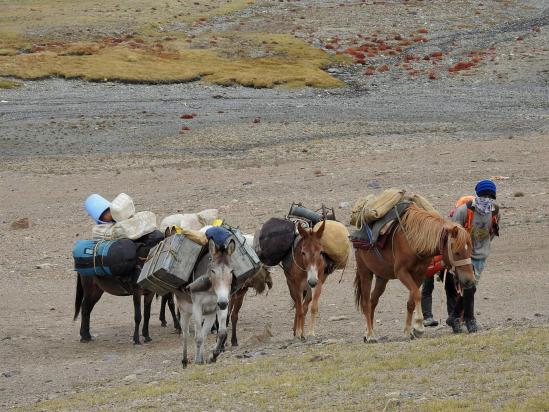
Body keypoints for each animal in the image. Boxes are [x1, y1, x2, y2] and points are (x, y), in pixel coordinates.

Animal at [173, 238, 233, 366]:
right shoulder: (197, 307)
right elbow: (198, 338)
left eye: (231, 271)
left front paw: (213, 356)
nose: (222, 303)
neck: (211, 290)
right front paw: (198, 361)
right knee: (186, 334)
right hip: (185, 312)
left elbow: (222, 332)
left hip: (209, 315)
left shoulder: (220, 305)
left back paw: (200, 358)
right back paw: (185, 360)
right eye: (213, 271)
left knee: (203, 334)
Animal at [354, 203, 474, 342]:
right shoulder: (402, 272)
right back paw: (370, 335)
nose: (470, 280)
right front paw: (418, 326)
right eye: (457, 252)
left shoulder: (419, 275)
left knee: (373, 301)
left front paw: (408, 331)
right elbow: (417, 294)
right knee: (366, 303)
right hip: (365, 272)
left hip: (382, 277)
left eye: (469, 250)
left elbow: (411, 302)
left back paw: (368, 332)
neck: (415, 241)